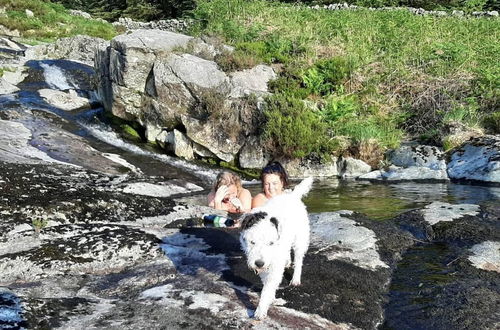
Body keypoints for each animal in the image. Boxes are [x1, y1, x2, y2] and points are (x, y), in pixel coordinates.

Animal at [238, 178, 312, 320]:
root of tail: (293, 195)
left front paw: (261, 309)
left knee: (299, 259)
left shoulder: (274, 266)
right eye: (252, 242)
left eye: (271, 243)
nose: (259, 263)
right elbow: (266, 281)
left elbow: (268, 287)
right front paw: (270, 298)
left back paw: (295, 279)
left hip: (300, 239)